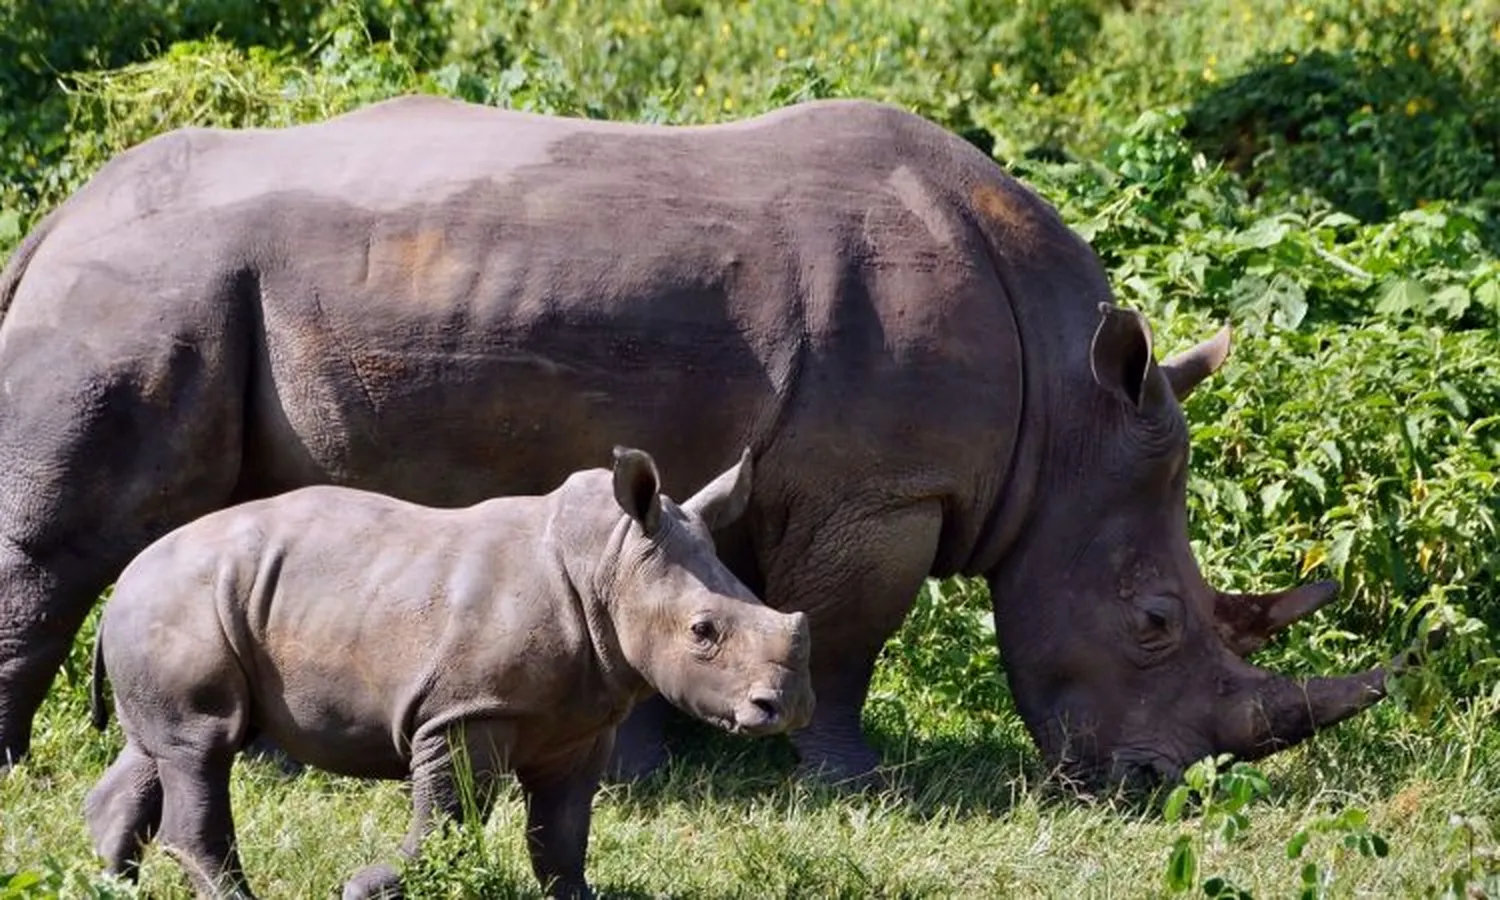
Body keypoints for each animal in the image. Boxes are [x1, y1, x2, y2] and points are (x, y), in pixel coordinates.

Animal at [0, 96, 1386, 785]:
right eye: (1151, 622)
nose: (1166, 786)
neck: (1064, 412)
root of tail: (58, 218)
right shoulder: (879, 490)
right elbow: (848, 632)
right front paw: (849, 782)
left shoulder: (771, 479)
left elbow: (718, 608)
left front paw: (655, 764)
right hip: (153, 287)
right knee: (77, 533)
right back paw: (17, 768)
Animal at [85, 447, 811, 899]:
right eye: (703, 632)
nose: (787, 707)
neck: (609, 562)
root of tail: (123, 580)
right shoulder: (467, 710)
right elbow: (451, 813)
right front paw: (368, 887)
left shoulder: (578, 723)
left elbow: (562, 832)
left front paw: (579, 896)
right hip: (181, 600)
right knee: (204, 745)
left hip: (181, 605)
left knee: (160, 750)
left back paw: (107, 886)